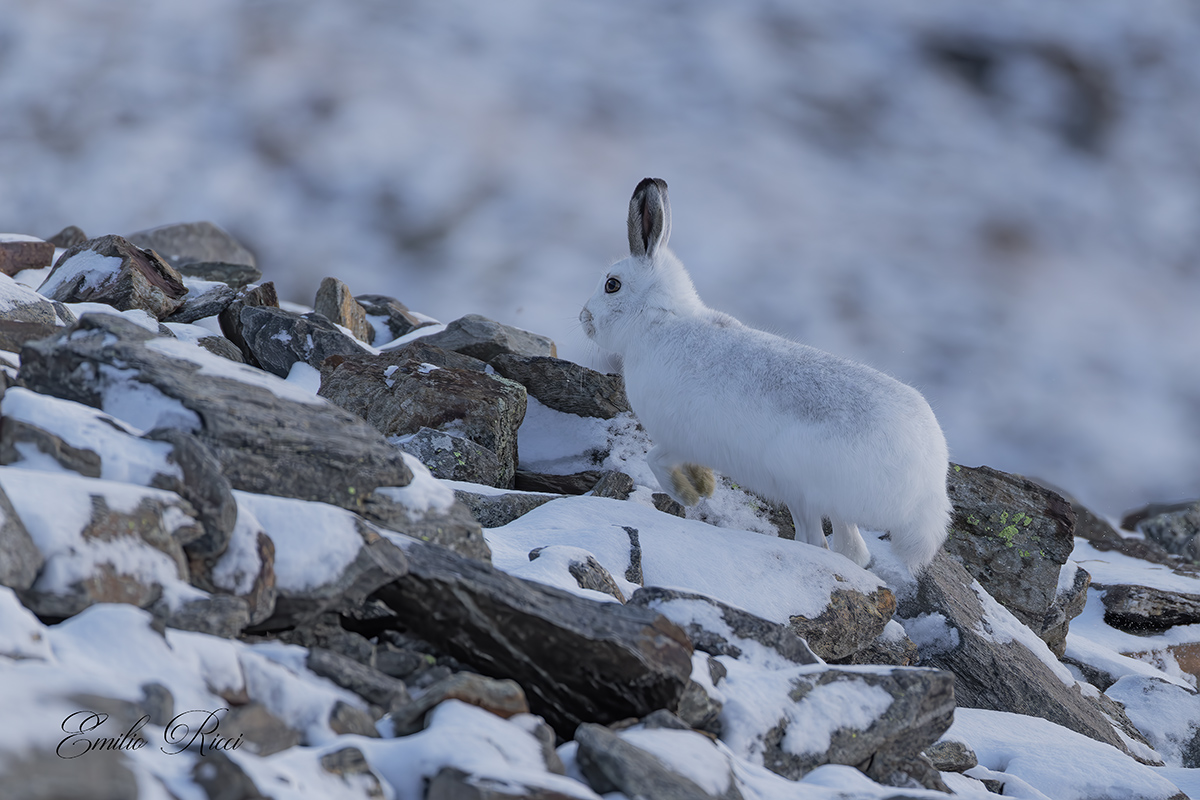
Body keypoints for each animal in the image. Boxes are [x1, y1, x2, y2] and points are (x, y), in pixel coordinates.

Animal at [580, 178, 951, 572]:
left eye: (612, 285)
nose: (584, 318)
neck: (658, 322)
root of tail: (926, 488)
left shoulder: (680, 436)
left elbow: (654, 458)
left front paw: (689, 496)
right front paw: (704, 486)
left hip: (798, 484)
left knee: (818, 542)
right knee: (852, 550)